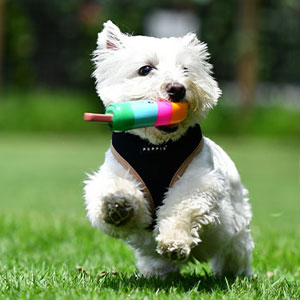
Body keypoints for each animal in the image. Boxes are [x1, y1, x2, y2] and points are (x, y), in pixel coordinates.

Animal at [84, 20, 253, 278]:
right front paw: (117, 205)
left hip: (236, 230)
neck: (156, 147)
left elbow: (181, 207)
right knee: (155, 261)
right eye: (145, 69)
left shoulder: (199, 181)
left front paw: (174, 242)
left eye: (186, 70)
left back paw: (236, 274)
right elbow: (113, 194)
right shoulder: (115, 173)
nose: (177, 88)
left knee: (234, 252)